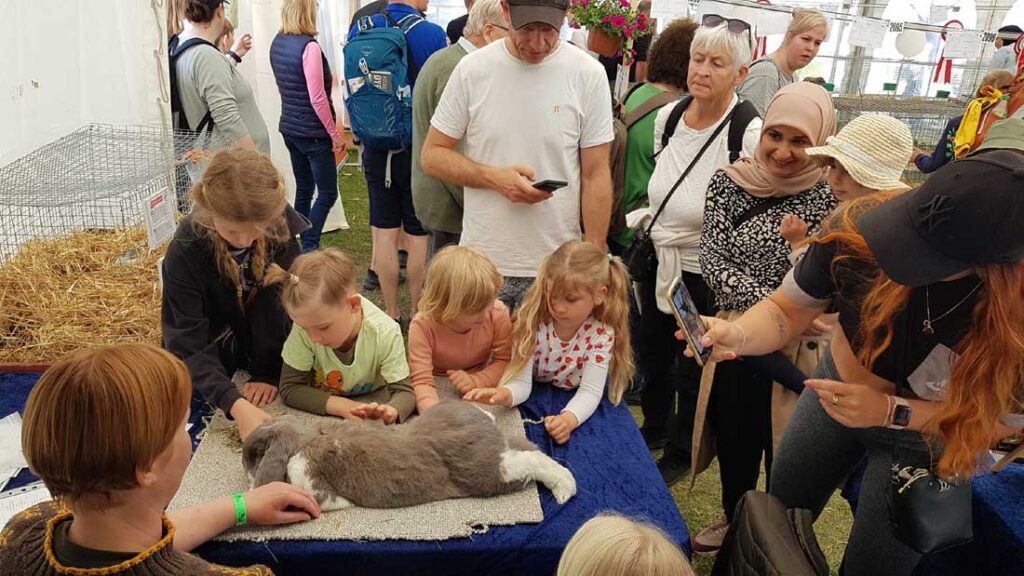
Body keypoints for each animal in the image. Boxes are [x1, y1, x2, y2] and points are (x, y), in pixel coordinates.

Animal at [240, 401, 577, 508]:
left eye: (254, 454)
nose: (246, 475)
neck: (302, 442)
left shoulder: (313, 486)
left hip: (488, 472)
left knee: (533, 461)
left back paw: (566, 490)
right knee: (528, 450)